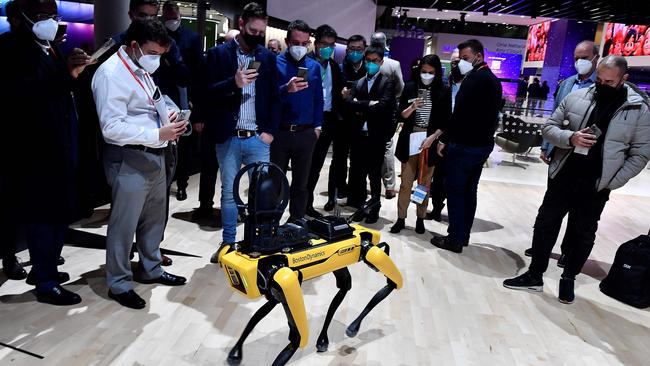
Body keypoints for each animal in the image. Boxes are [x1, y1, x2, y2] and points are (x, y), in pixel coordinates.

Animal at [216, 163, 400, 366]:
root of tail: (352, 223)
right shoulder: (279, 281)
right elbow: (277, 319)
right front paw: (237, 352)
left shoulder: (284, 278)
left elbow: (297, 335)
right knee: (346, 287)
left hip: (364, 252)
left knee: (383, 278)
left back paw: (343, 330)